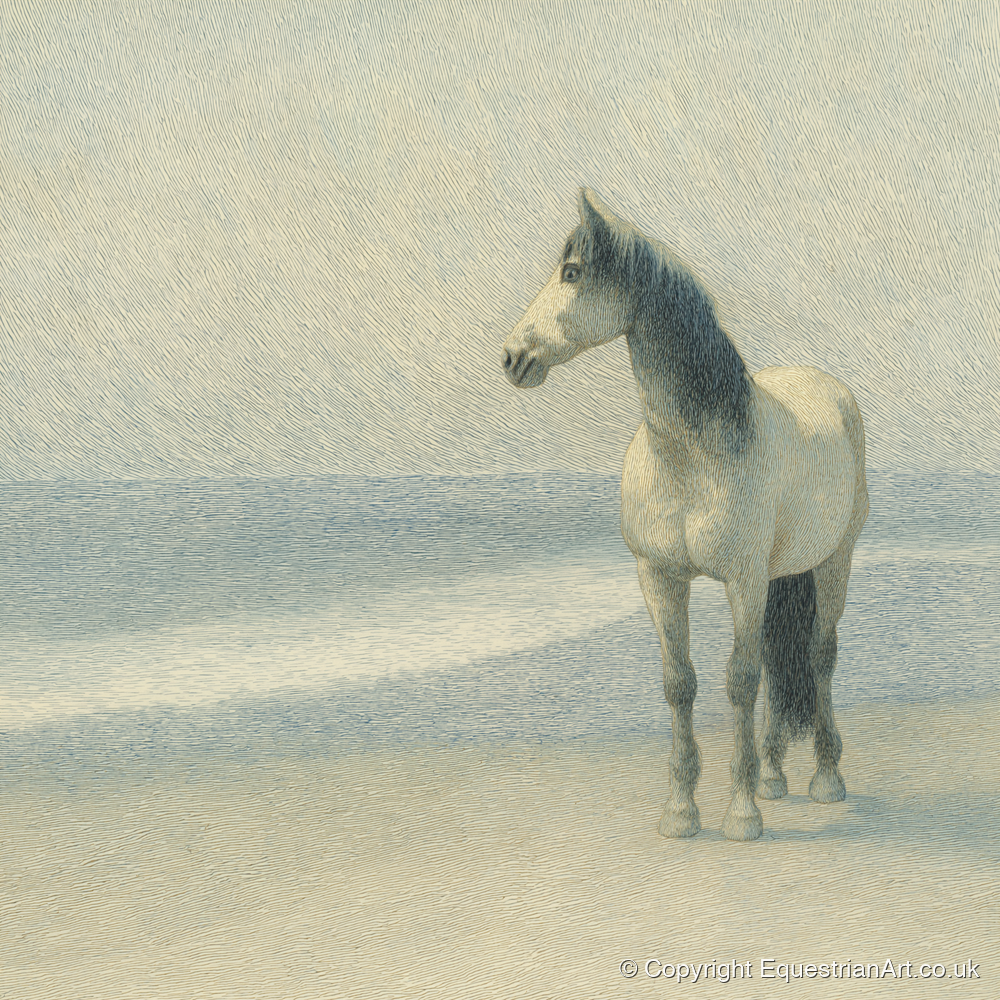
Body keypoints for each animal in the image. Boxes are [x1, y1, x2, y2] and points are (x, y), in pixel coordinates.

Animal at [501, 190, 868, 842]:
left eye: (572, 273)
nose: (514, 357)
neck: (690, 455)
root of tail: (827, 386)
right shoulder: (660, 576)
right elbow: (681, 683)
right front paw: (681, 810)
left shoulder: (743, 580)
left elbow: (740, 681)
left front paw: (741, 814)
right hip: (780, 575)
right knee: (781, 661)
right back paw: (774, 775)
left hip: (833, 561)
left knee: (820, 655)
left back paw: (825, 777)